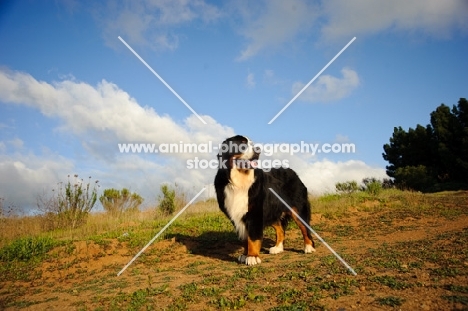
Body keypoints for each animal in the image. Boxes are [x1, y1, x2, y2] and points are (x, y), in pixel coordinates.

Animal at [215, 135, 316, 266]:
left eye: (252, 143)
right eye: (242, 144)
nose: (258, 149)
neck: (239, 181)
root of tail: (292, 171)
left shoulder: (255, 213)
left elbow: (252, 237)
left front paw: (252, 257)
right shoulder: (237, 216)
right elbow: (245, 238)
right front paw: (245, 254)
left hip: (297, 208)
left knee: (305, 228)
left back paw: (309, 247)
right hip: (271, 211)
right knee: (280, 229)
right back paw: (277, 248)